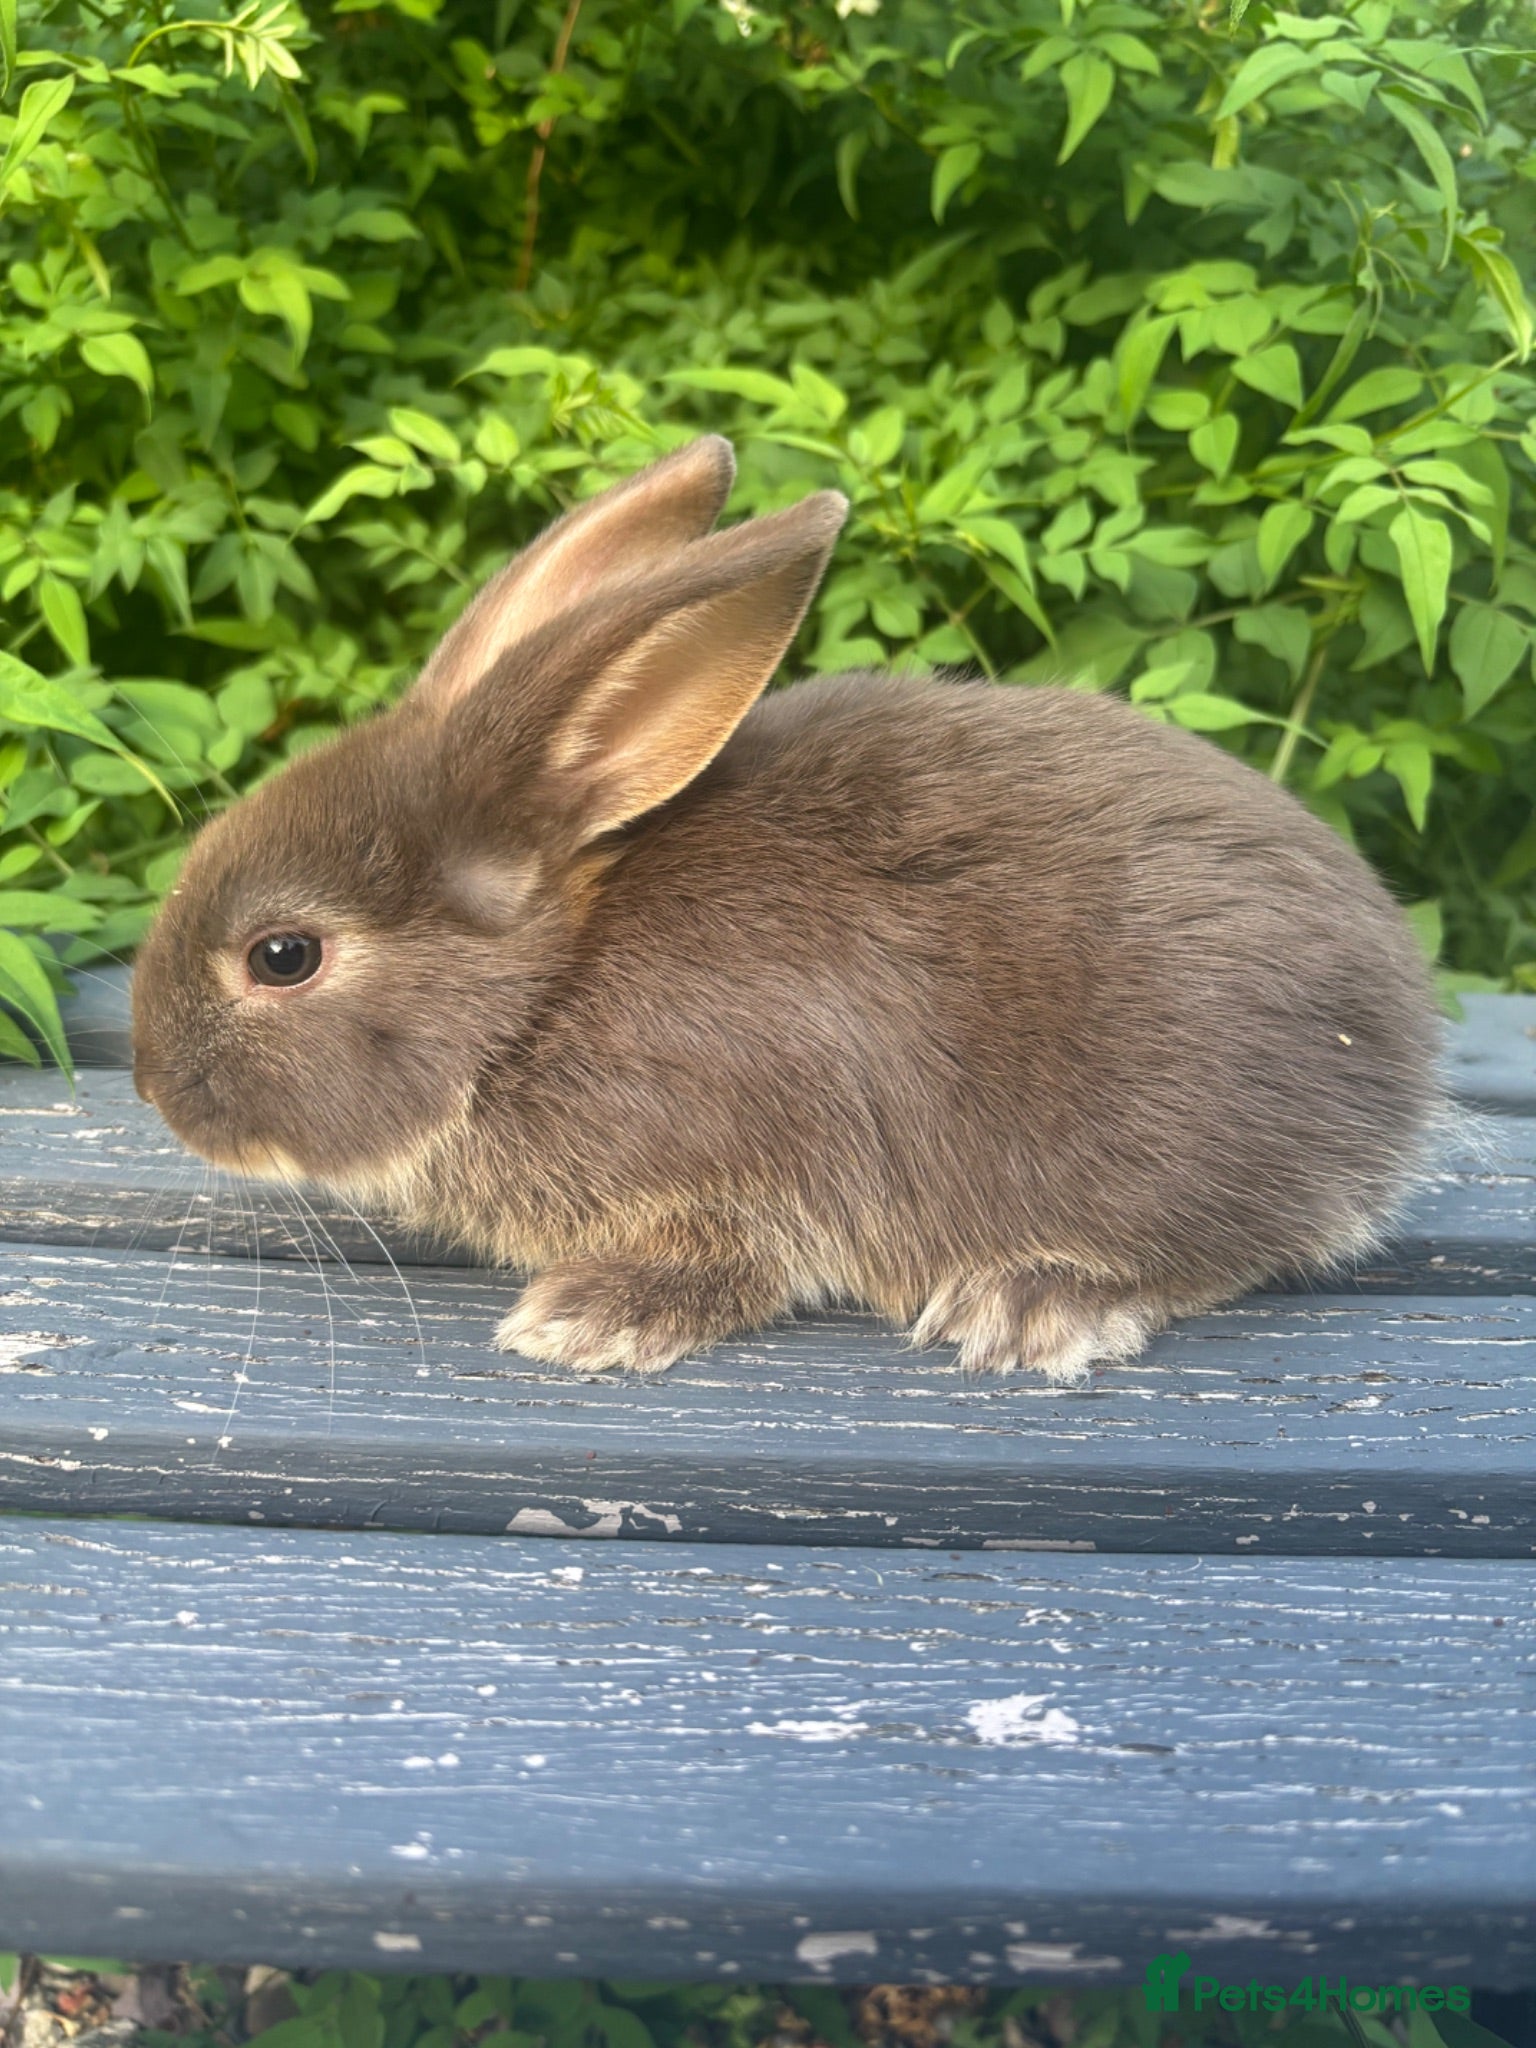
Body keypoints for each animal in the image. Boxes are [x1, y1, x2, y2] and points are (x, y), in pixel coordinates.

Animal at [131, 433, 1445, 1384]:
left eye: (284, 954)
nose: (151, 1087)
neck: (542, 994)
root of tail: (1398, 1032)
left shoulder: (743, 1167)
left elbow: (730, 1260)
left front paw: (586, 1318)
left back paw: (1034, 1300)